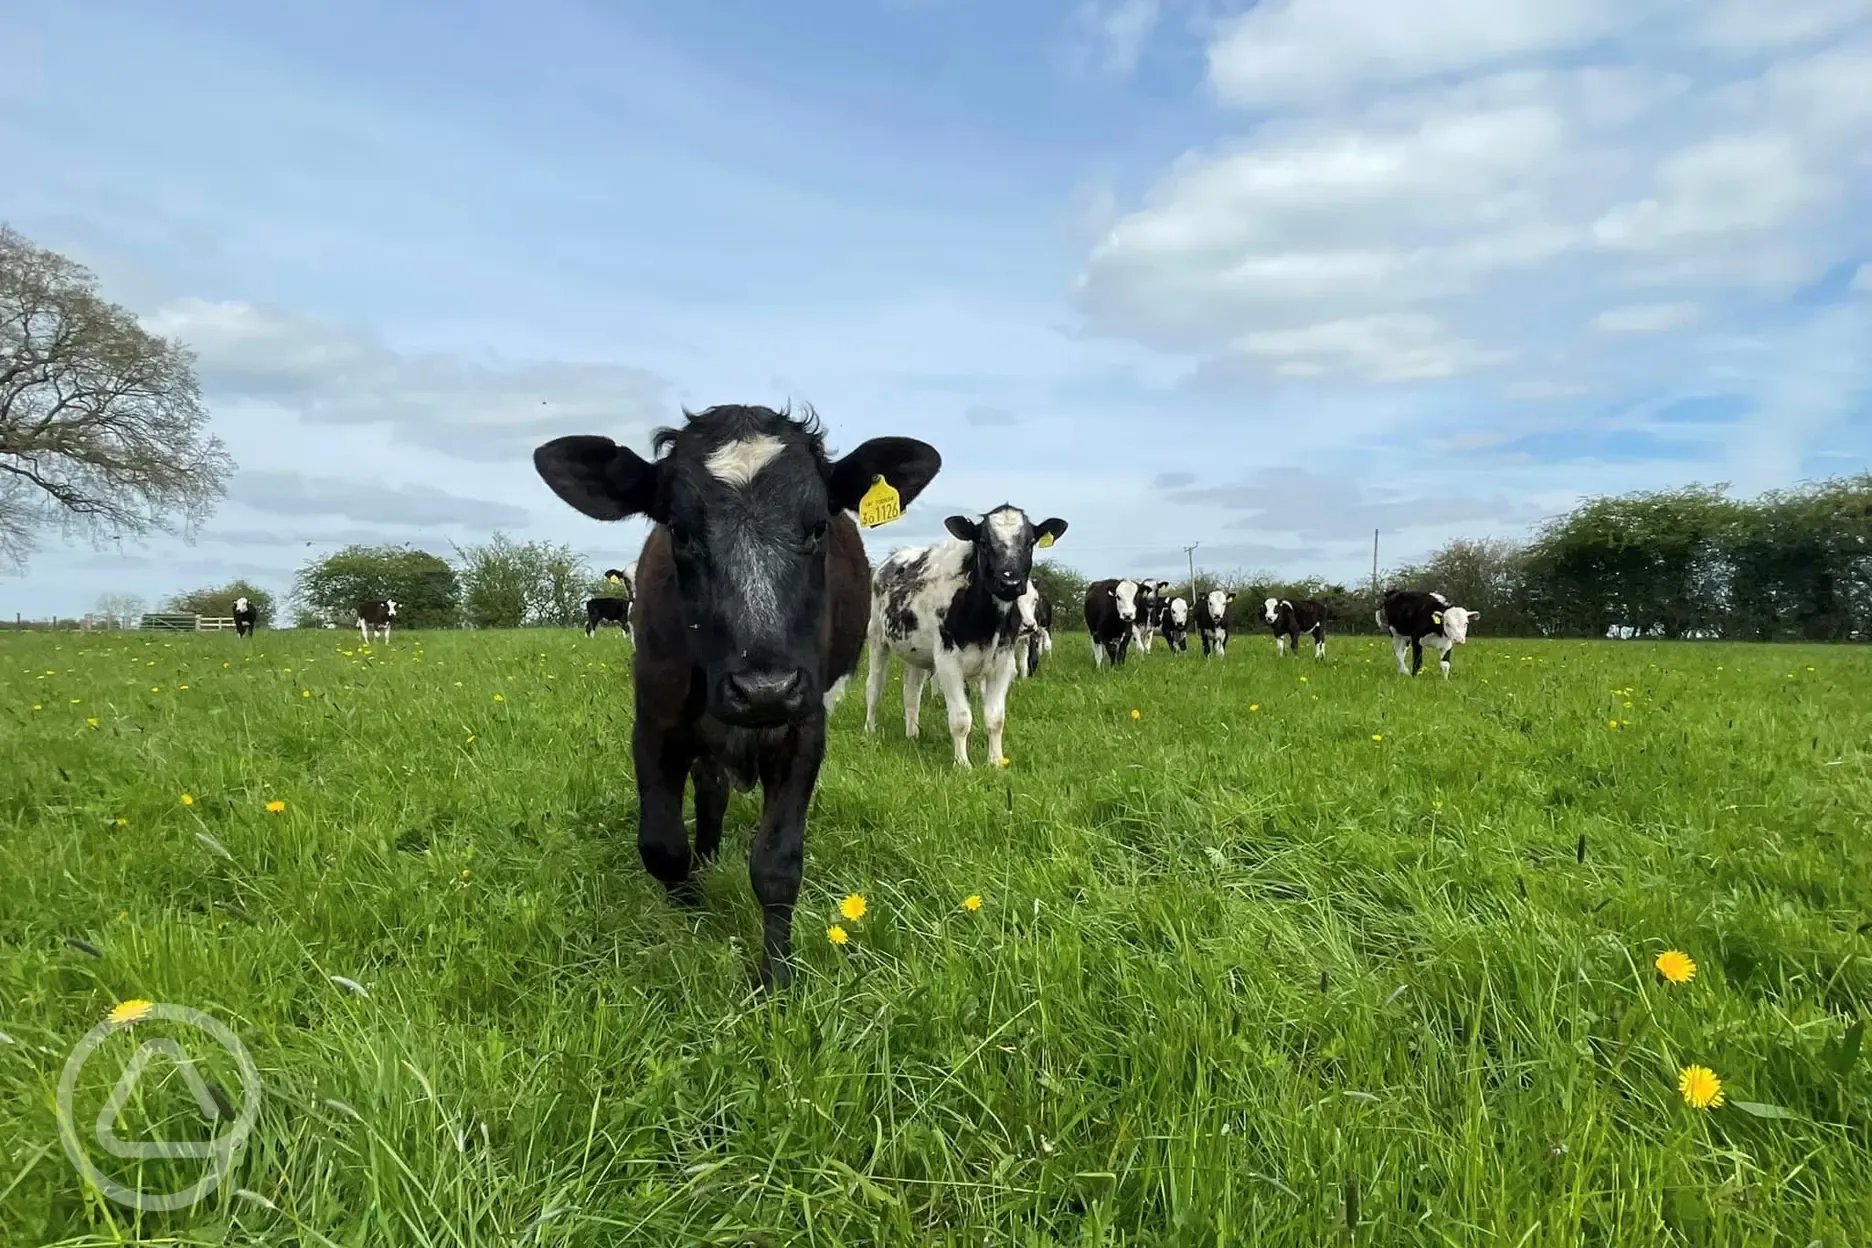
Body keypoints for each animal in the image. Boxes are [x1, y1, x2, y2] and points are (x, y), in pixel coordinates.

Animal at [531, 400, 936, 987]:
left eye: (818, 528)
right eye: (680, 531)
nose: (763, 689)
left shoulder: (803, 727)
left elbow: (777, 863)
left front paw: (777, 979)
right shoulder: (653, 723)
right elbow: (662, 846)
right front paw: (687, 917)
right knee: (711, 792)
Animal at [864, 505, 1070, 763]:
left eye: (1030, 542)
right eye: (983, 541)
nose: (1010, 582)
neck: (985, 622)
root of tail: (895, 558)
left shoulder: (1003, 661)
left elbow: (996, 717)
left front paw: (995, 761)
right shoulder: (948, 662)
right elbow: (961, 718)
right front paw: (962, 763)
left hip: (915, 651)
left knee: (911, 690)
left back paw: (913, 733)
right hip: (877, 637)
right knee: (874, 685)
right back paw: (870, 729)